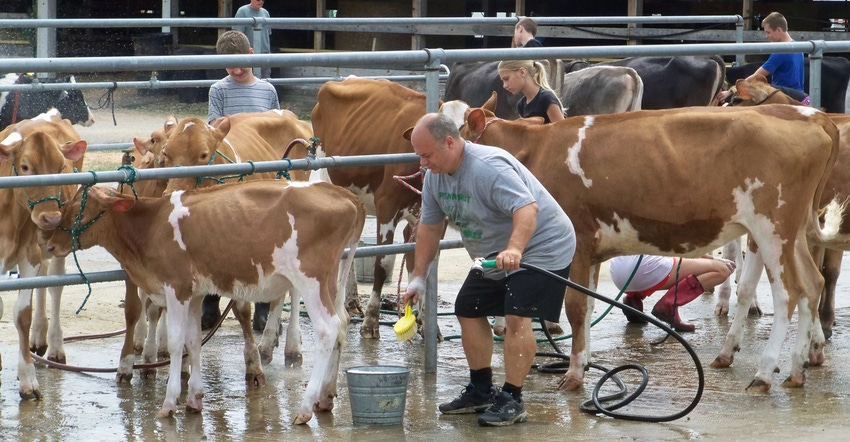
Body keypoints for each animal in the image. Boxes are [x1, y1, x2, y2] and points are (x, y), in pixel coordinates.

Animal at [0, 108, 86, 400]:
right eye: (25, 167)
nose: (51, 217)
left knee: (54, 285)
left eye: (60, 168)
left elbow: (21, 314)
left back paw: (54, 345)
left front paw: (28, 379)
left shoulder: (29, 255)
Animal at [43, 180, 362, 424]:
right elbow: (193, 341)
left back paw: (305, 408)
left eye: (80, 208)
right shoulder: (195, 293)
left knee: (327, 329)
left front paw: (170, 402)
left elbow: (175, 342)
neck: (150, 224)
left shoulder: (177, 287)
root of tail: (341, 193)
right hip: (331, 279)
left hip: (310, 278)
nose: (49, 245)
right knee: (342, 324)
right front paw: (194, 399)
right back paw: (326, 398)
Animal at [450, 102, 840, 390]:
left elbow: (575, 308)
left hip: (772, 227)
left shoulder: (579, 241)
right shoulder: (592, 253)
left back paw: (764, 373)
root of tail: (811, 116)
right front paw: (585, 364)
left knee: (790, 293)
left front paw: (573, 376)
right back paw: (795, 370)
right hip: (790, 232)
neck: (536, 151)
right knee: (812, 284)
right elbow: (588, 308)